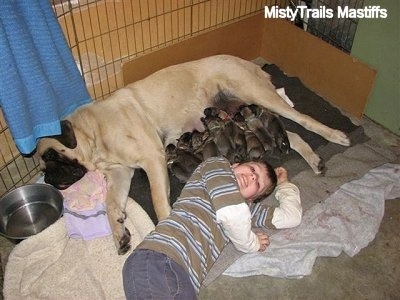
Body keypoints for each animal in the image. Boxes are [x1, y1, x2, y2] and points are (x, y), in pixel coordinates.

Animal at [37, 54, 350, 255]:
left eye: (51, 157)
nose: (49, 180)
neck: (94, 132)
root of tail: (247, 61)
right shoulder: (121, 172)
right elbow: (111, 203)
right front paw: (119, 234)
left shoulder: (152, 158)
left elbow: (156, 200)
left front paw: (166, 226)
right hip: (251, 113)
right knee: (290, 135)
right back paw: (314, 159)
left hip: (258, 94)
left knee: (303, 119)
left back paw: (335, 135)